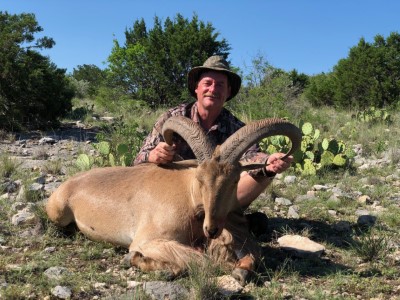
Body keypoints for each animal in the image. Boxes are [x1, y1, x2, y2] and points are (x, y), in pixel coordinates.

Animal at [46, 116, 300, 284]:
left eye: (235, 180)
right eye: (199, 178)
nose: (212, 229)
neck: (190, 198)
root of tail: (67, 184)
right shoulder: (147, 240)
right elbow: (203, 261)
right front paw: (141, 261)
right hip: (58, 213)